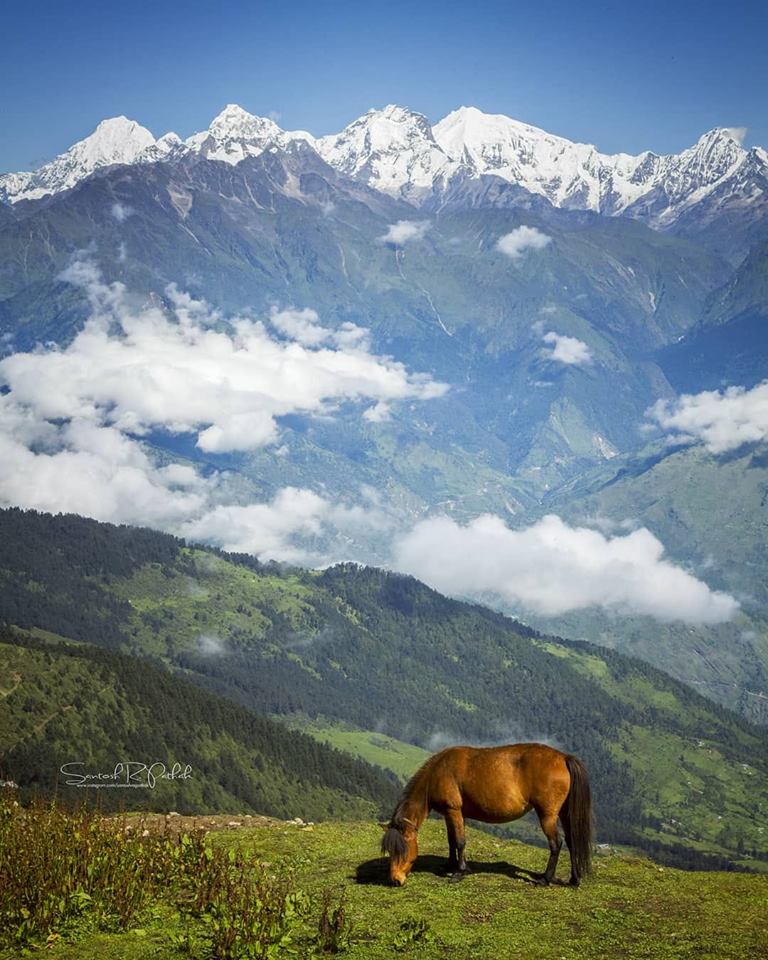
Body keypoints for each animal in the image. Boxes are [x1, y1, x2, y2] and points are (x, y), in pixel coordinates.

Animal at [381, 742, 593, 887]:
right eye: (390, 851)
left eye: (401, 850)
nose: (395, 880)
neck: (438, 772)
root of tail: (563, 757)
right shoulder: (450, 815)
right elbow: (451, 841)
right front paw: (450, 865)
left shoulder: (454, 811)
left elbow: (460, 842)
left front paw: (459, 872)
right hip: (564, 813)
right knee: (572, 841)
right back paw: (574, 879)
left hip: (547, 815)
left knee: (556, 843)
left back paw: (545, 879)